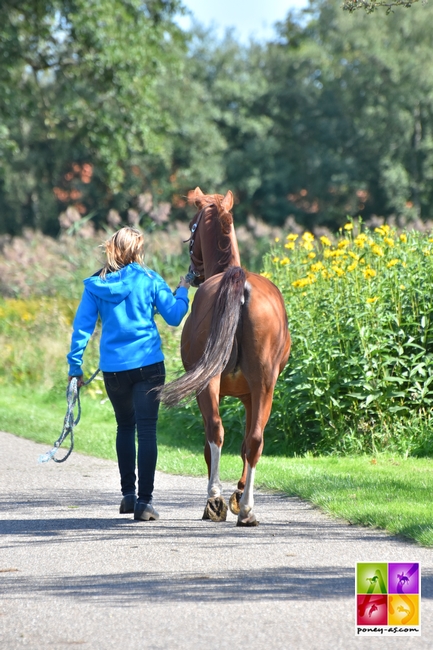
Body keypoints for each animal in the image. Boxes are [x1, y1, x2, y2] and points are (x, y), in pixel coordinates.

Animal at [159, 186, 290, 520]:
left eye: (190, 228)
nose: (193, 273)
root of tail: (239, 283)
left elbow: (214, 444)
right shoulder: (249, 394)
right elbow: (246, 443)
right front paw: (239, 492)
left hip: (210, 384)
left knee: (216, 432)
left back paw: (215, 499)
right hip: (263, 385)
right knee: (254, 440)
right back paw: (246, 508)